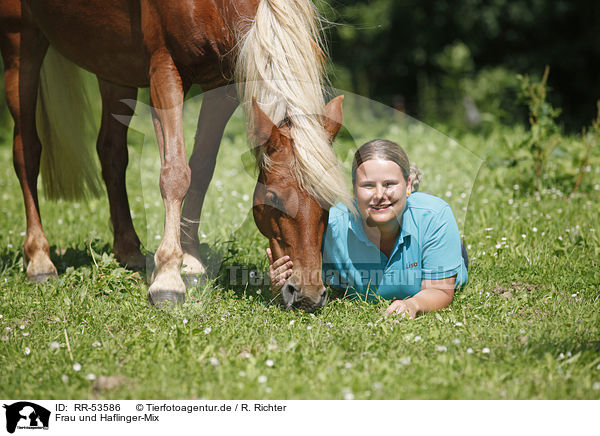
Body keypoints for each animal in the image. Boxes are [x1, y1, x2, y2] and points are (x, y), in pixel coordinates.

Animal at [0, 0, 352, 314]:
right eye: (274, 197)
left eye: (329, 201)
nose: (308, 293)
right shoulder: (164, 68)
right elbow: (175, 174)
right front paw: (168, 277)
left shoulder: (223, 83)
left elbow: (202, 168)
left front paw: (192, 263)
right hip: (21, 45)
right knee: (27, 152)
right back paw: (39, 261)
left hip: (112, 63)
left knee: (111, 151)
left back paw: (129, 252)